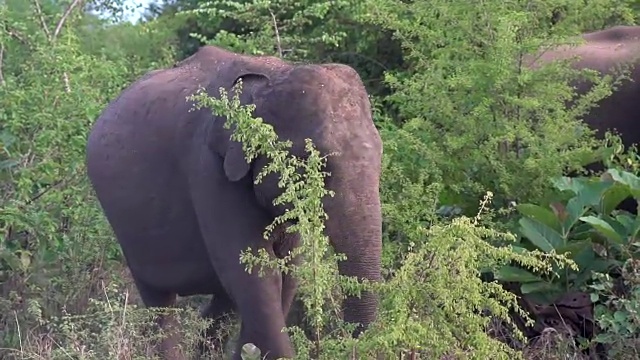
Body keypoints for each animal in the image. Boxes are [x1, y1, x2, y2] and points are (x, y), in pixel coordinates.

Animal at [87, 45, 382, 360]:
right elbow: (256, 276)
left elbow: (286, 272)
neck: (272, 79)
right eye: (307, 160)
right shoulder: (209, 171)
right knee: (161, 304)